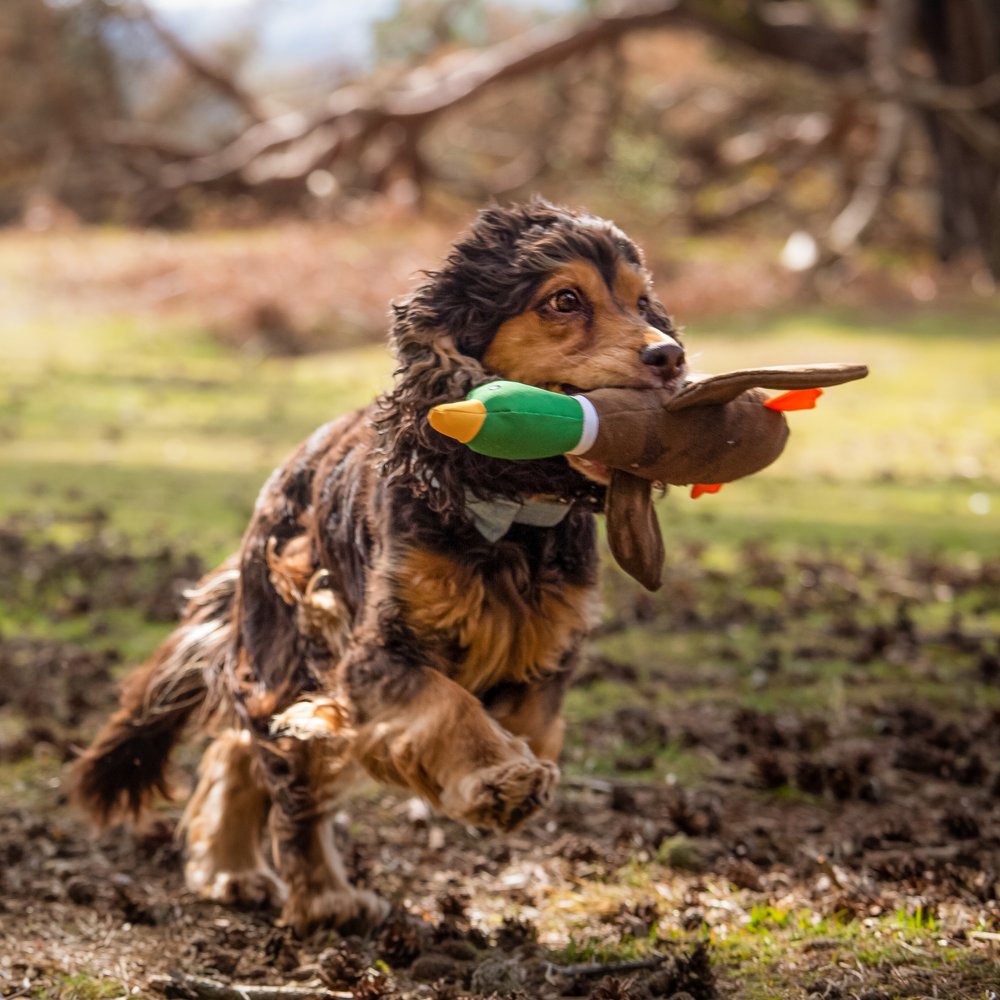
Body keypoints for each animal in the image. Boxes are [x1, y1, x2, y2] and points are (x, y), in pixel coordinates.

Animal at [72, 199, 688, 932]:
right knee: (288, 776)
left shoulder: (545, 653)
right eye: (564, 301)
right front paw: (498, 779)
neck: (508, 515)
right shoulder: (373, 654)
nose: (669, 355)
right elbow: (446, 706)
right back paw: (320, 895)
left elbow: (532, 725)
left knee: (244, 748)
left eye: (643, 301)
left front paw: (507, 767)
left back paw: (232, 868)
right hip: (294, 639)